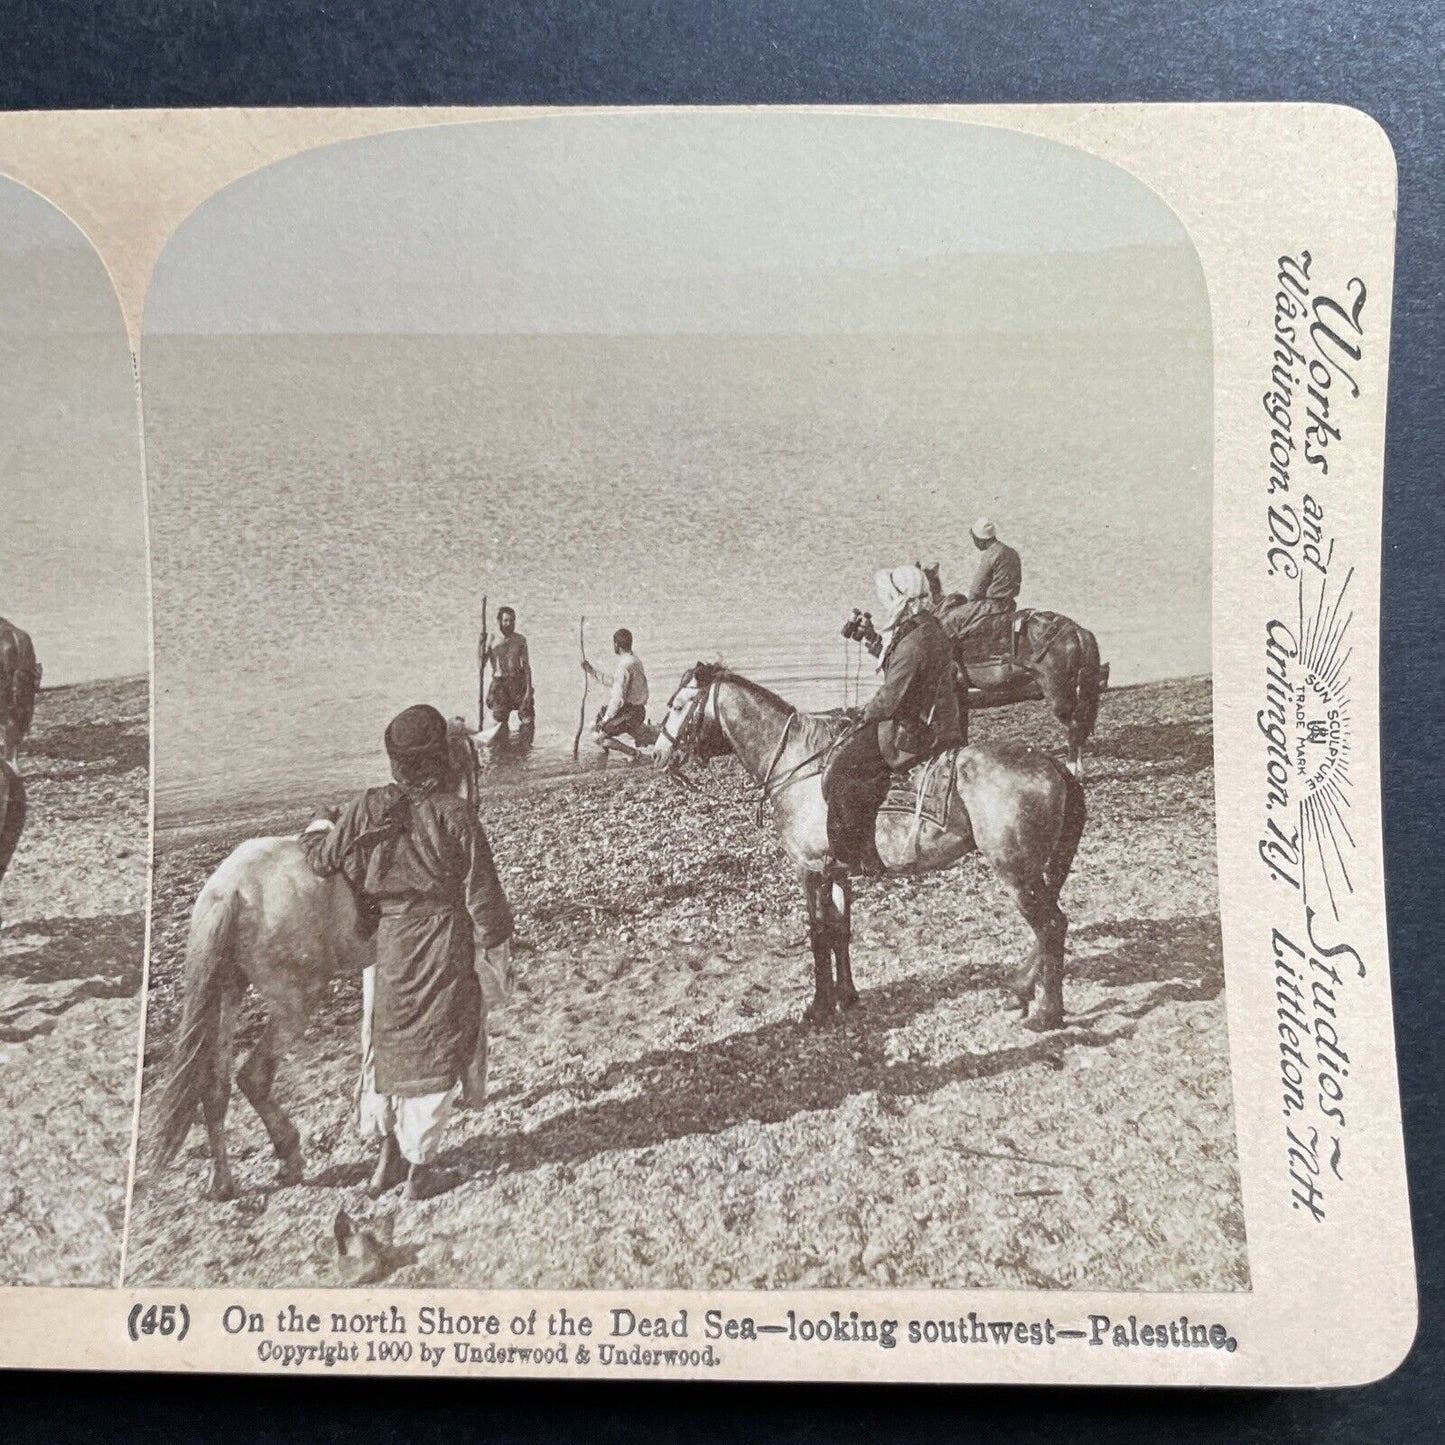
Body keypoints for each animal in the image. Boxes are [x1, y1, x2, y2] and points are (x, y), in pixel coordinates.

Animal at [656, 661, 1086, 1028]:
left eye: (677, 706)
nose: (658, 753)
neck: (797, 765)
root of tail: (1052, 764)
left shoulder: (810, 868)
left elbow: (818, 934)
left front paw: (819, 1006)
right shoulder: (838, 870)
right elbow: (841, 931)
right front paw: (846, 996)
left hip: (1016, 871)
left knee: (1051, 926)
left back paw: (1048, 1013)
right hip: (1033, 871)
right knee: (1051, 925)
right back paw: (1022, 988)